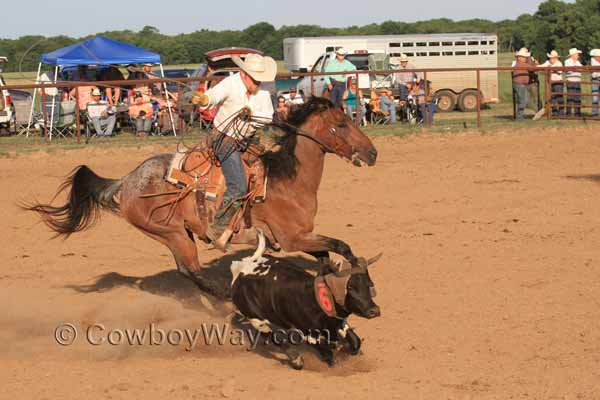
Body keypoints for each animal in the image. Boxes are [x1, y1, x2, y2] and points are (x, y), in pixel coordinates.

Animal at [27, 97, 380, 296]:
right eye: (341, 123)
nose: (373, 153)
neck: (287, 179)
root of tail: (126, 181)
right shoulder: (291, 238)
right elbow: (342, 246)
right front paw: (363, 280)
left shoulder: (302, 236)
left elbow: (326, 256)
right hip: (167, 231)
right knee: (190, 270)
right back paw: (224, 295)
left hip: (178, 233)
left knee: (186, 269)